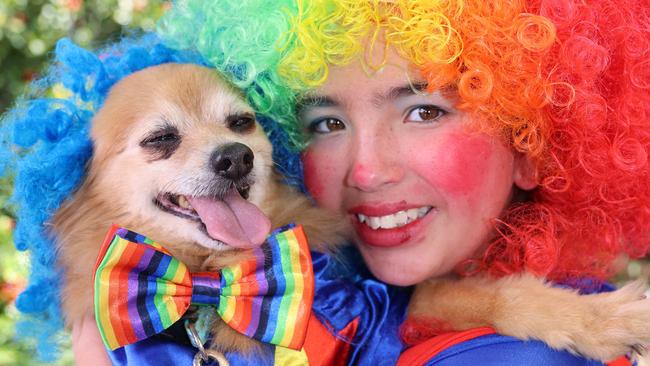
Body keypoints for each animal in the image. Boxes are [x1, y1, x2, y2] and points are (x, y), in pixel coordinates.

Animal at [53, 62, 648, 360]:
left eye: (241, 123)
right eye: (160, 139)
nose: (235, 156)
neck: (210, 281)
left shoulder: (380, 316)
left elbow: (491, 295)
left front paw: (601, 319)